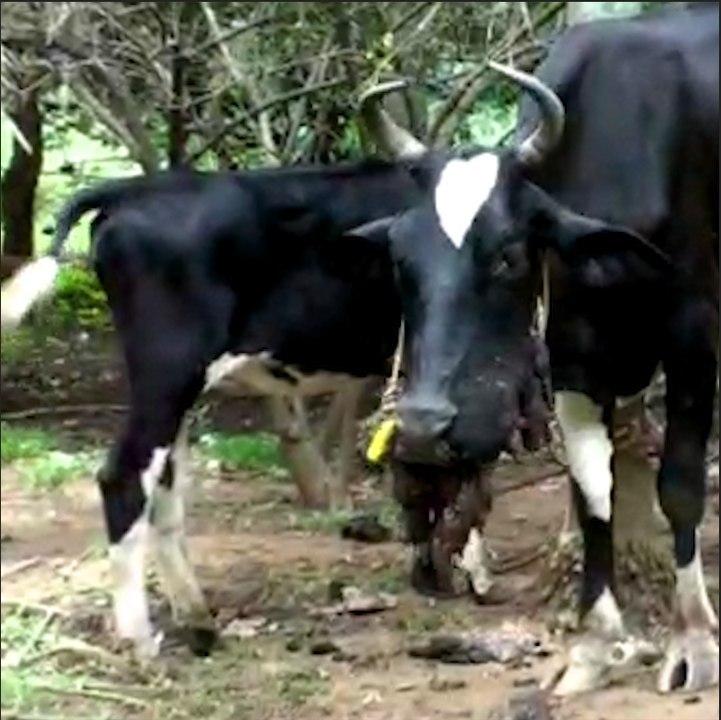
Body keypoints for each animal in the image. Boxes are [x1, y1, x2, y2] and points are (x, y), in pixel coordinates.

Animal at [338, 2, 718, 698]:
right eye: (400, 259)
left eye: (508, 255)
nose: (423, 428)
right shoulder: (574, 357)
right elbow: (593, 491)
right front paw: (594, 646)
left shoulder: (693, 333)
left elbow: (678, 483)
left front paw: (694, 644)